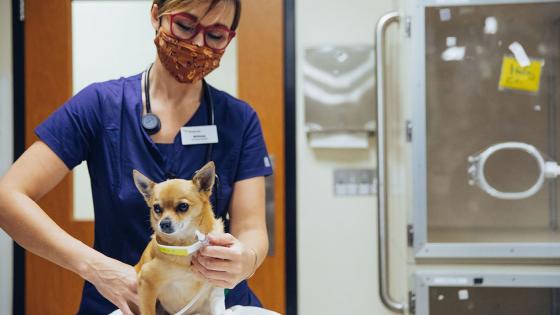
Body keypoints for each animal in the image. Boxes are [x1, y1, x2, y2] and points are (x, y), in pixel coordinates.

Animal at [132, 163, 226, 315]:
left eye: (183, 206)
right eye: (157, 208)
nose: (164, 223)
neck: (187, 244)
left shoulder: (215, 286)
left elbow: (219, 309)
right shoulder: (146, 280)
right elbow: (148, 311)